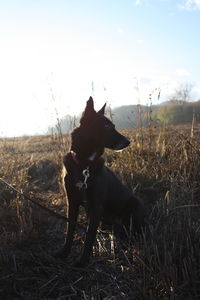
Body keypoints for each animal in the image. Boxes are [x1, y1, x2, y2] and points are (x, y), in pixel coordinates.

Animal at [57, 96, 146, 268]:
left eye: (114, 126)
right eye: (106, 126)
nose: (128, 141)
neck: (84, 165)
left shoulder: (96, 206)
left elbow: (89, 236)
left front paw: (83, 261)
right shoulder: (72, 202)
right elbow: (70, 229)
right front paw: (64, 252)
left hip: (135, 204)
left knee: (134, 231)